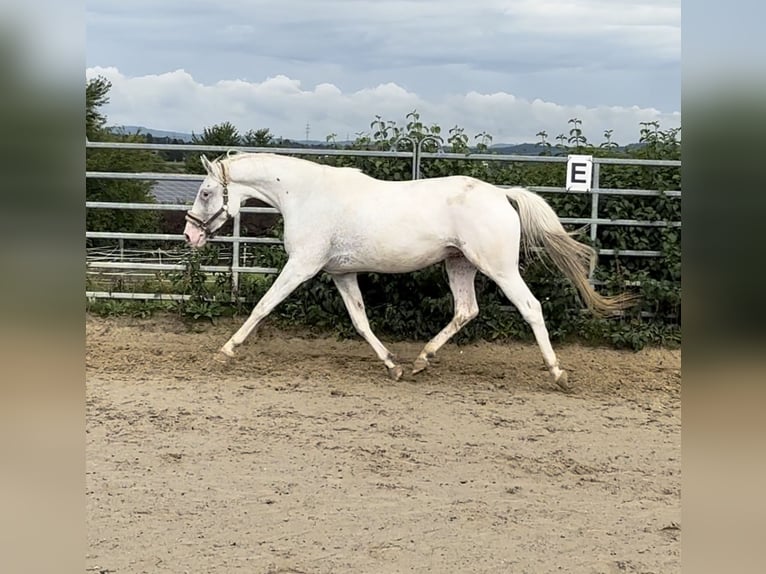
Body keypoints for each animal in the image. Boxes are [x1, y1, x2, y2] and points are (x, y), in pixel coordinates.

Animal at [183, 152, 634, 389]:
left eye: (205, 192)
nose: (190, 234)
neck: (306, 196)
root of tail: (503, 196)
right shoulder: (340, 273)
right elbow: (361, 321)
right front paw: (392, 365)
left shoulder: (303, 266)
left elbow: (262, 306)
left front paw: (225, 352)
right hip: (458, 264)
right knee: (466, 310)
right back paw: (421, 359)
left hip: (498, 267)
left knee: (530, 307)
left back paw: (557, 372)